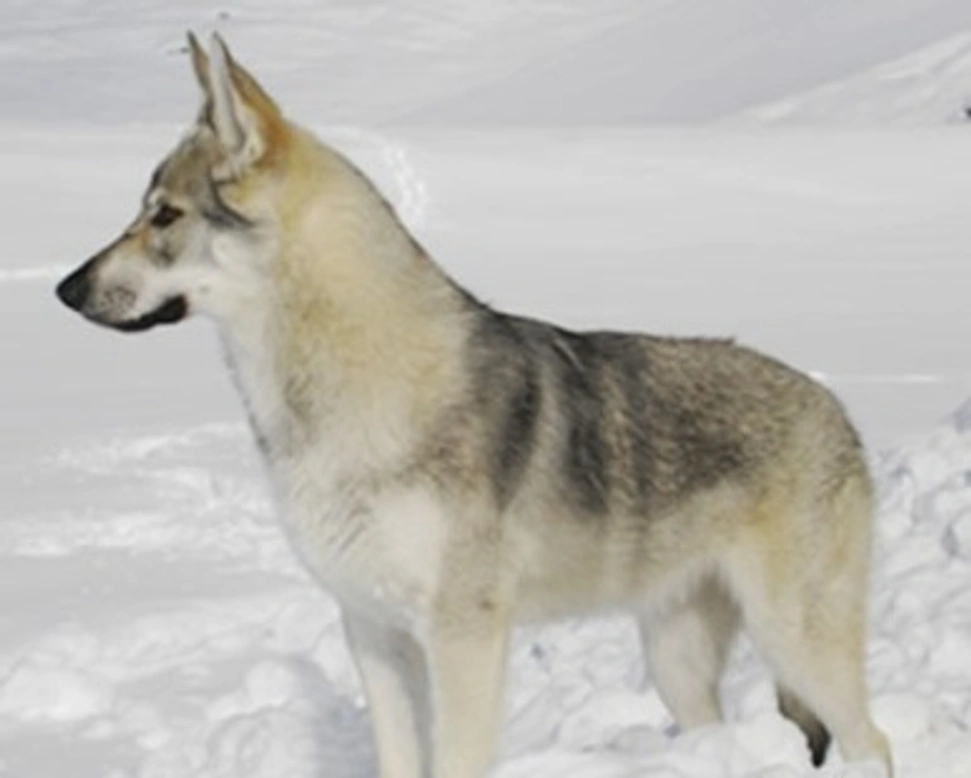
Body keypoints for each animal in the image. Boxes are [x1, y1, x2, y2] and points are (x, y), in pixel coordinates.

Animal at [55, 33, 892, 778]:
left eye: (164, 216)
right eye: (143, 210)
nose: (65, 288)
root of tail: (838, 411)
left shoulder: (464, 637)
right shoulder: (372, 633)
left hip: (793, 643)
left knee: (872, 742)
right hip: (677, 663)